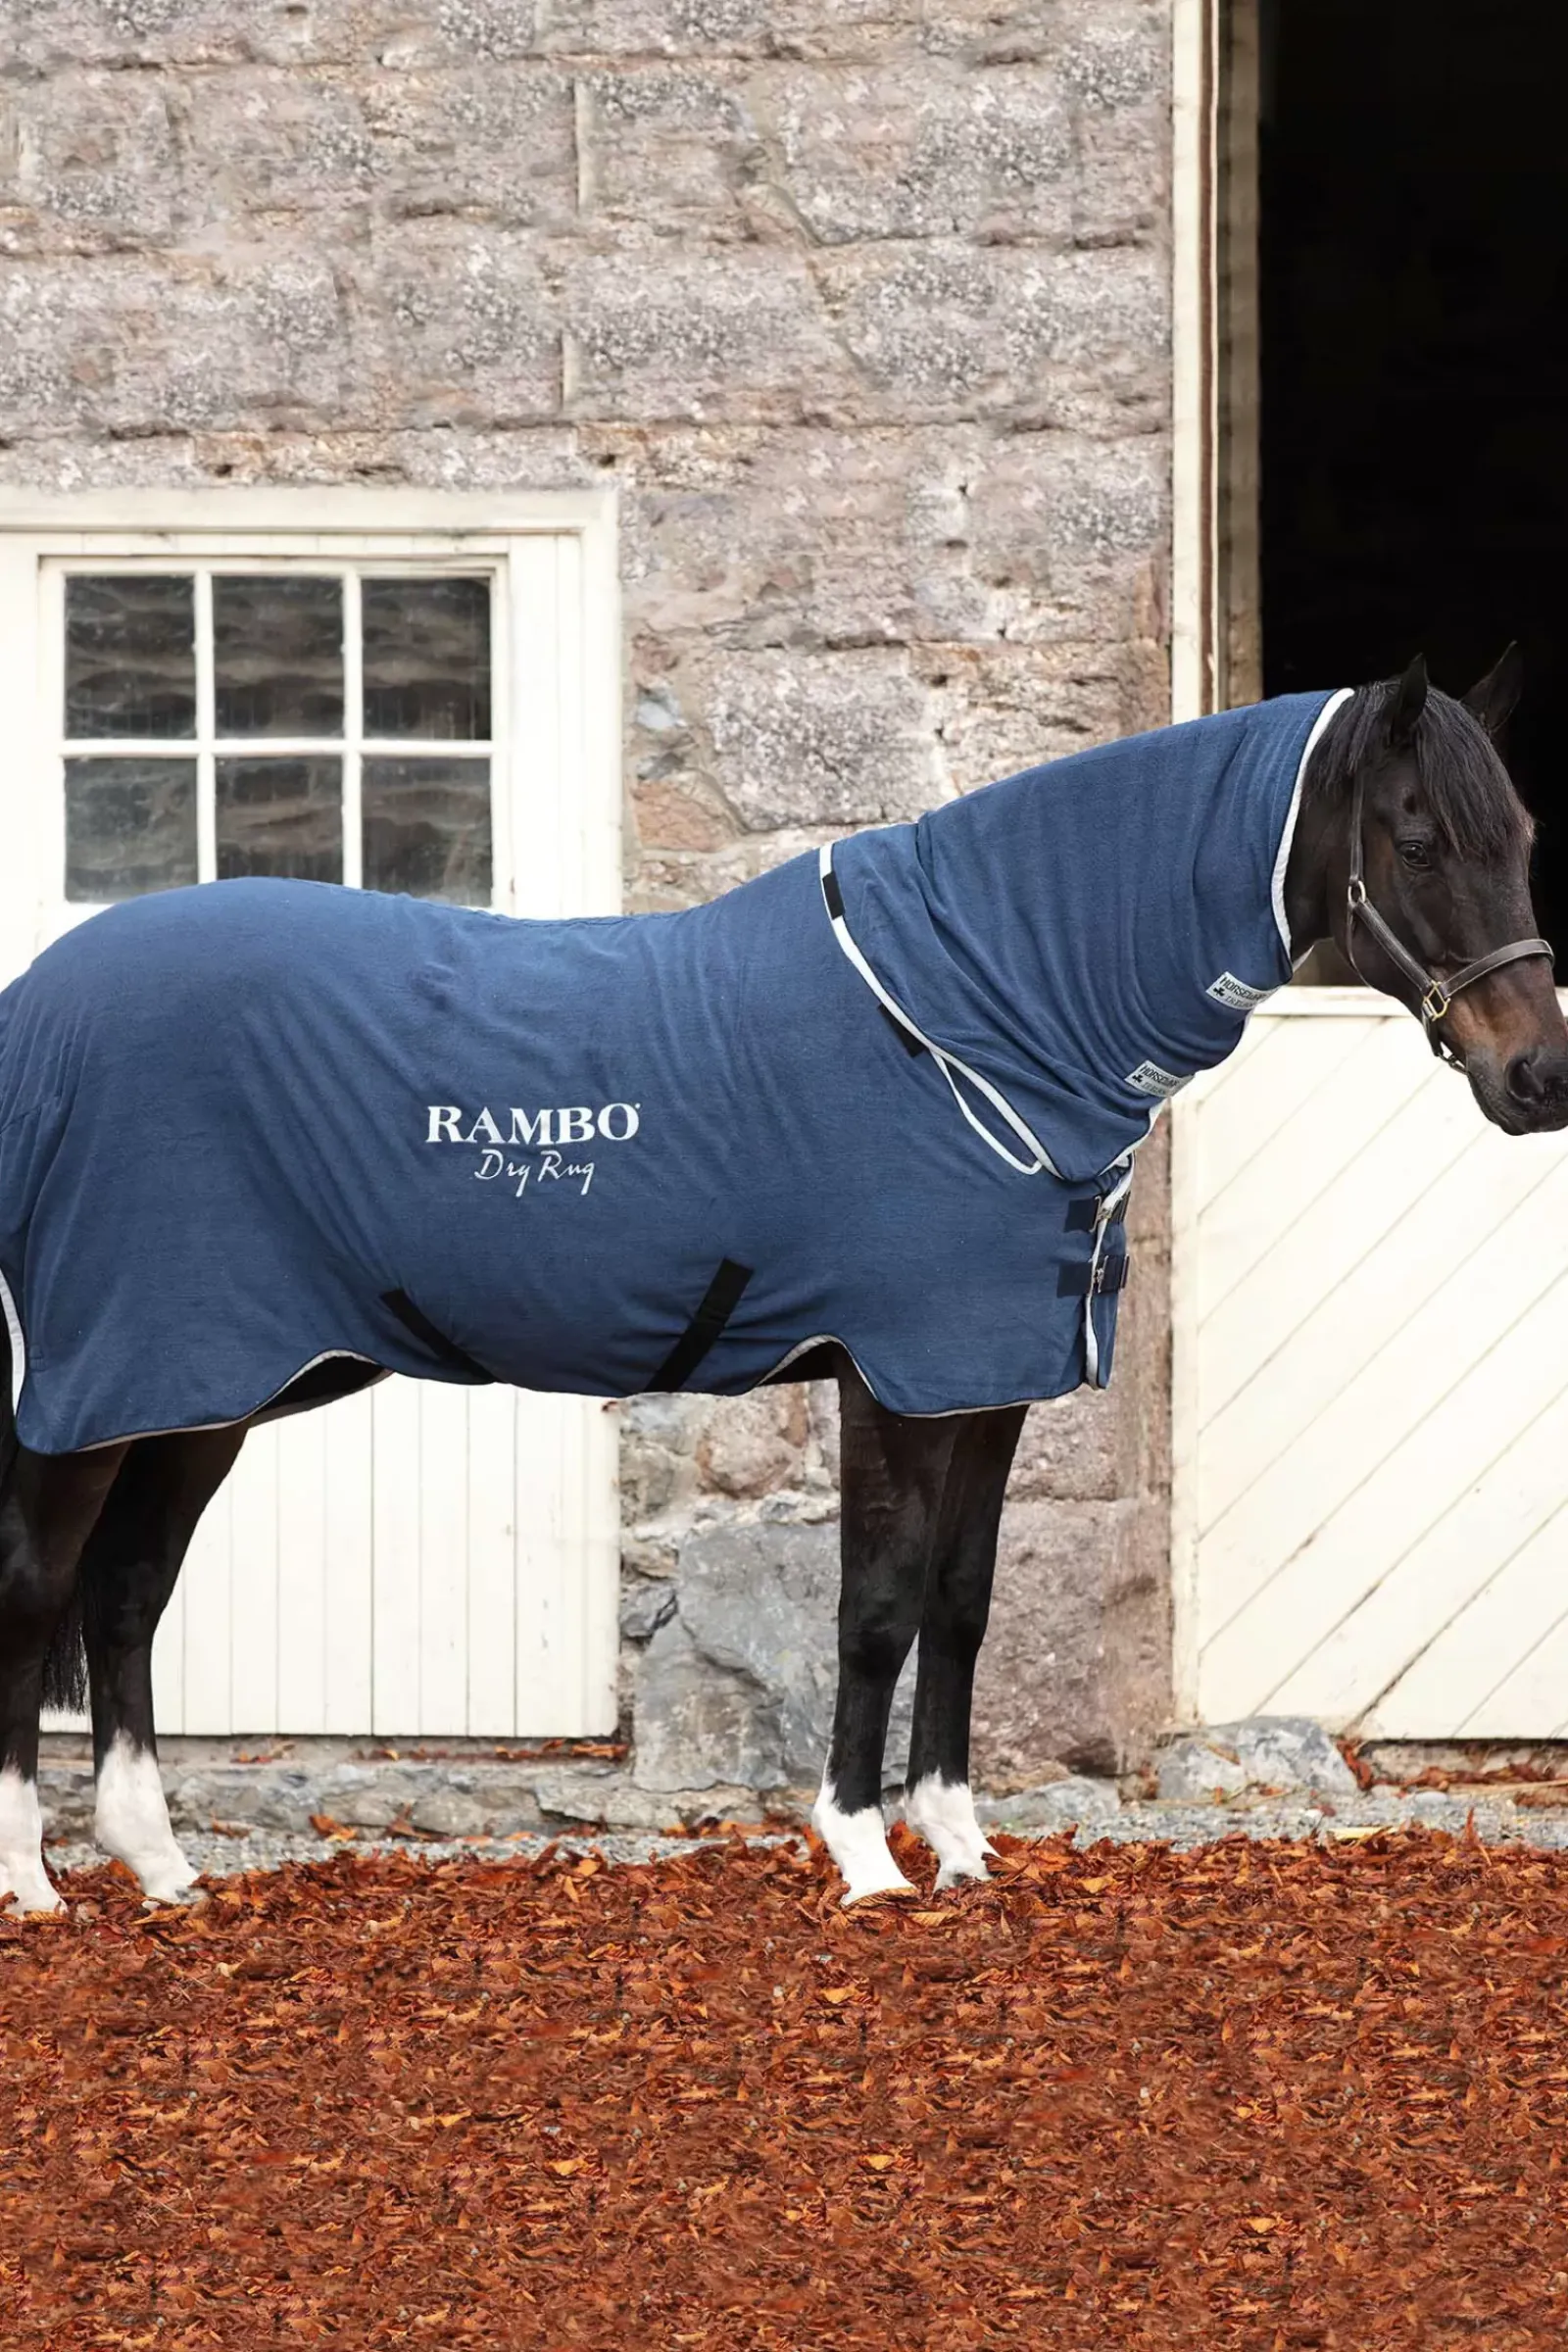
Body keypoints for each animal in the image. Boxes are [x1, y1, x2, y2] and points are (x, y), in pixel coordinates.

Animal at [1, 655, 1565, 1918]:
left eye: (1524, 835)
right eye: (1418, 839)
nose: (1537, 1075)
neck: (976, 1014)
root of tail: (38, 1012)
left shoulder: (989, 1380)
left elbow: (962, 1603)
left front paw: (962, 1847)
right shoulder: (893, 1375)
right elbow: (874, 1606)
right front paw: (865, 1857)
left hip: (205, 1386)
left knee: (126, 1595)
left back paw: (160, 1867)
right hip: (116, 1379)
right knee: (37, 1586)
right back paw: (33, 1883)